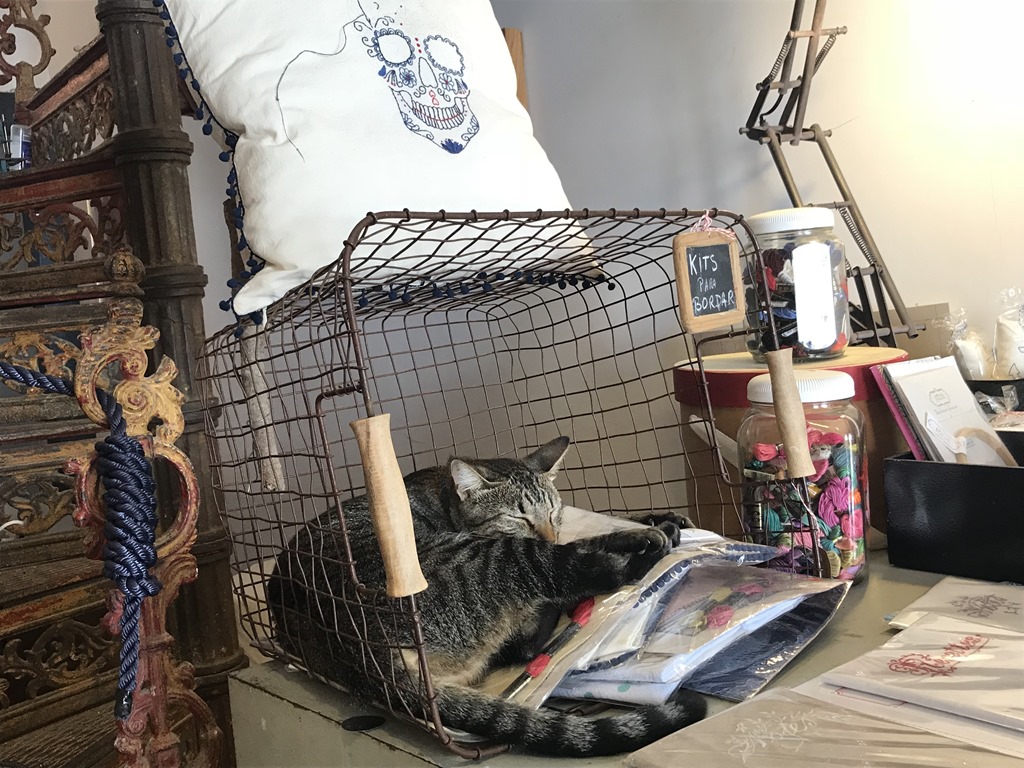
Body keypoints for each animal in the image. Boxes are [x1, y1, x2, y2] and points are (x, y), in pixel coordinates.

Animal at [266, 436, 706, 757]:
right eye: (519, 517)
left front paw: (658, 517)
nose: (548, 534)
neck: (442, 495)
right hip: (495, 558)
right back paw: (637, 556)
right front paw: (647, 531)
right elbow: (587, 541)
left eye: (554, 513)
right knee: (548, 608)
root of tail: (358, 650)